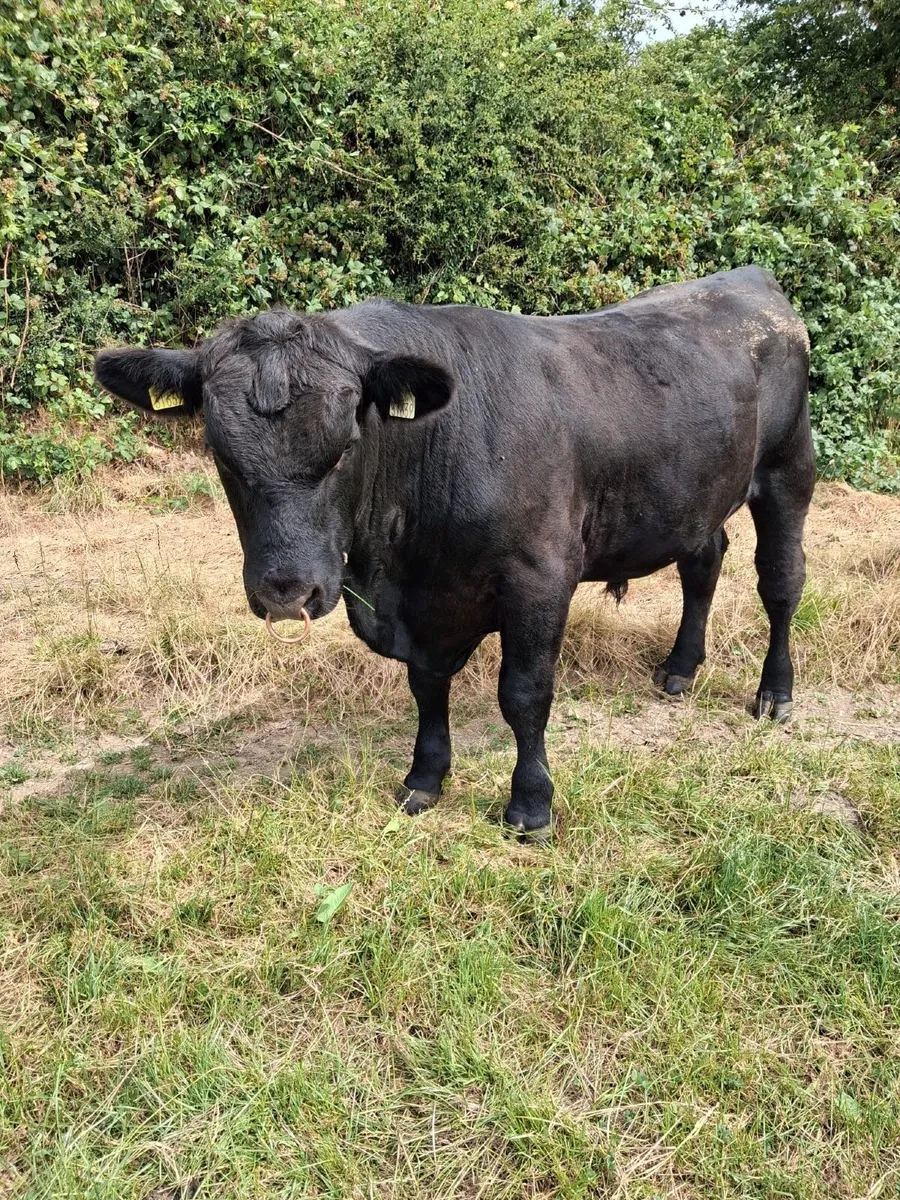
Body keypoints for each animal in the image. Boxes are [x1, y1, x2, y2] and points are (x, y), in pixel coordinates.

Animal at [95, 266, 816, 839]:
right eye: (220, 452)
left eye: (348, 442)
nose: (287, 591)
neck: (397, 571)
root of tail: (750, 279)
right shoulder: (426, 606)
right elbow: (426, 686)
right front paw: (424, 777)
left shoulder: (541, 575)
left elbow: (523, 693)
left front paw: (531, 806)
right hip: (698, 495)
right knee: (704, 561)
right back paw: (681, 668)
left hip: (787, 471)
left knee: (780, 581)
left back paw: (775, 694)